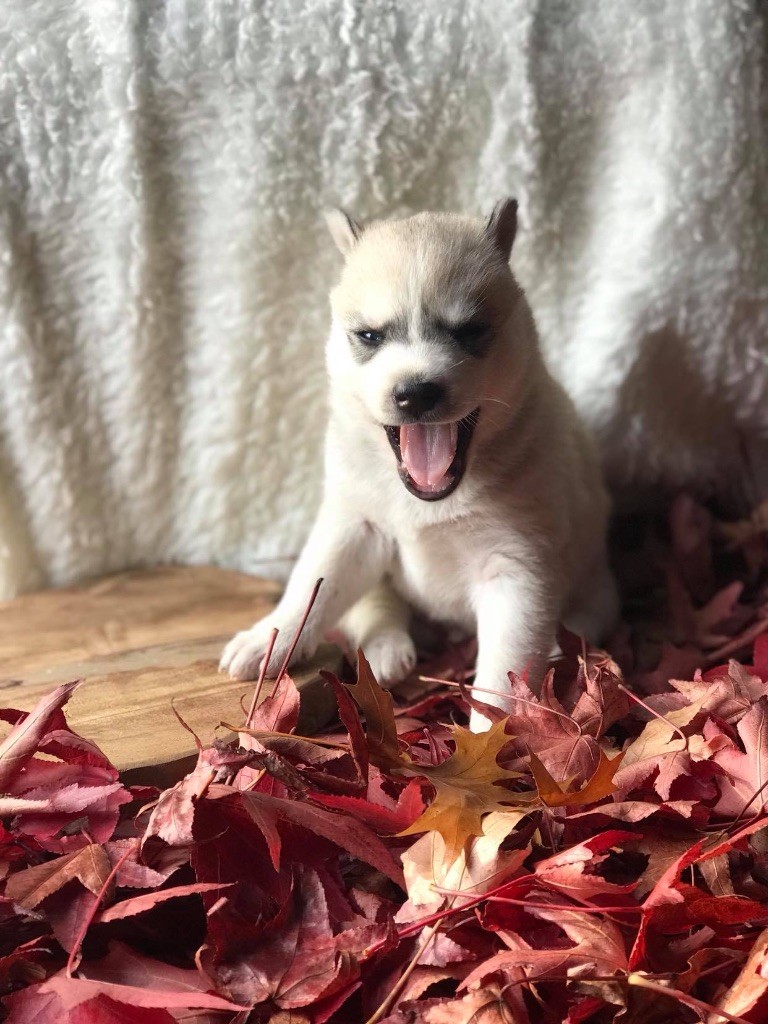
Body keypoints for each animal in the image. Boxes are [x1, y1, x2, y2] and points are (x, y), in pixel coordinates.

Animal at [220, 200, 618, 728]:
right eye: (369, 335)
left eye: (470, 332)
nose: (415, 392)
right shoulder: (353, 525)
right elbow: (313, 585)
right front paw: (273, 636)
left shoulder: (517, 571)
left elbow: (502, 675)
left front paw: (499, 735)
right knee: (373, 601)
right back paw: (387, 648)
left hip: (594, 589)